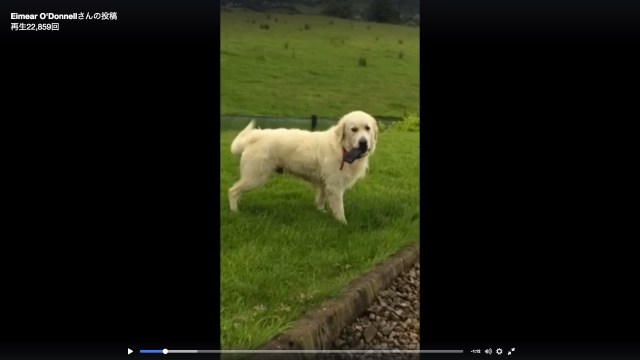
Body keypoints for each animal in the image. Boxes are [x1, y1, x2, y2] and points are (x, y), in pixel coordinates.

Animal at [228, 109, 378, 224]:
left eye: (367, 128)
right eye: (354, 129)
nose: (363, 143)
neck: (342, 148)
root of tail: (254, 136)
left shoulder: (325, 184)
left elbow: (321, 200)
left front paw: (321, 212)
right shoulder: (335, 186)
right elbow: (339, 209)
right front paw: (343, 224)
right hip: (255, 177)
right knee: (232, 191)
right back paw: (235, 212)